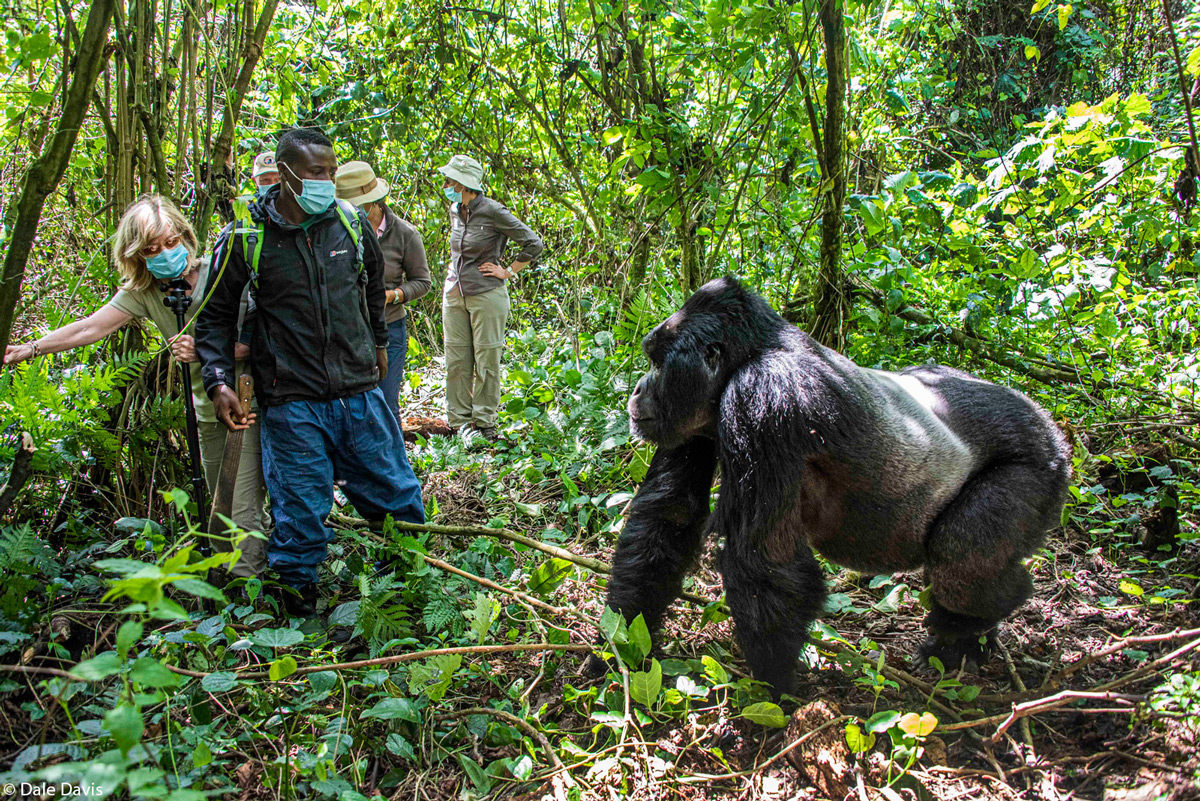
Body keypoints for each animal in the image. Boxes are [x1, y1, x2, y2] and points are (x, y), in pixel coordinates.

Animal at [595, 278, 1075, 695]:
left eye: (659, 363)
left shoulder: (763, 395)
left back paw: (975, 622)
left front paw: (775, 690)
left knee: (963, 558)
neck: (752, 352)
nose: (637, 389)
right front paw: (624, 640)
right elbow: (668, 513)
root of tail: (1052, 427)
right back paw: (971, 641)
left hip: (1039, 467)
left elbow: (763, 559)